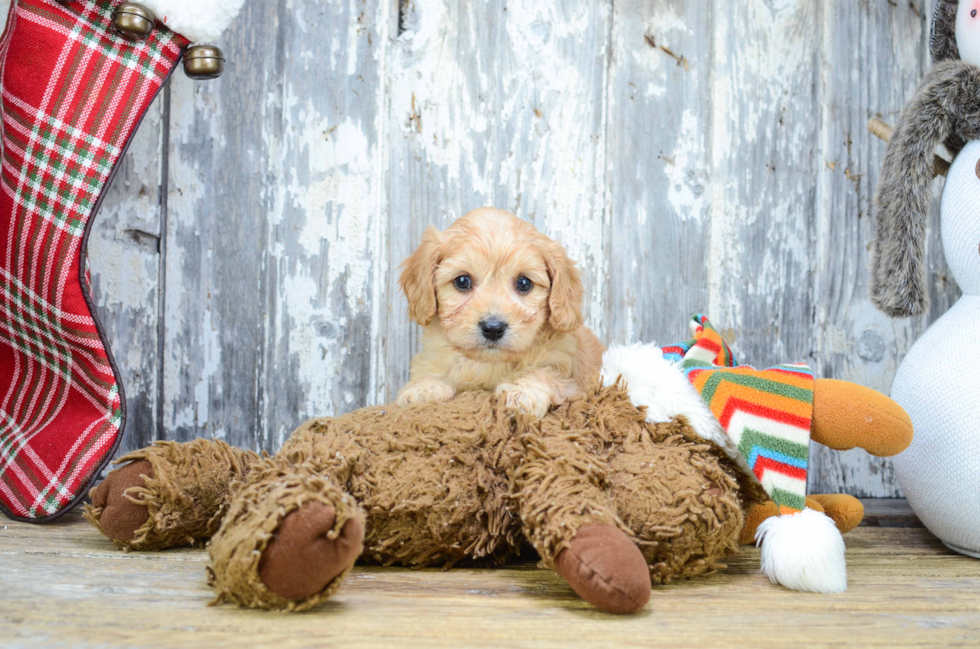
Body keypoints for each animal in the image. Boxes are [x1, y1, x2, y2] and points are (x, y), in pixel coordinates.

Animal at [398, 210, 604, 418]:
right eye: (462, 281)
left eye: (524, 283)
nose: (493, 328)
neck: (489, 363)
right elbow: (430, 370)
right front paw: (423, 388)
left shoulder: (573, 382)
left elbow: (542, 372)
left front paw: (522, 392)